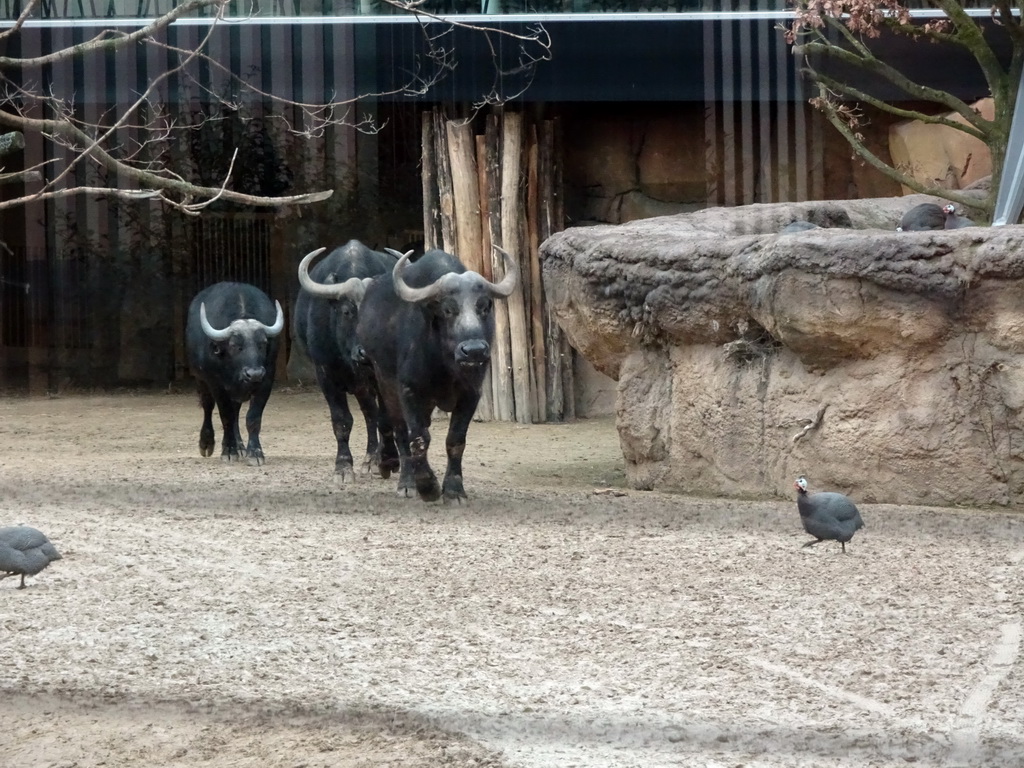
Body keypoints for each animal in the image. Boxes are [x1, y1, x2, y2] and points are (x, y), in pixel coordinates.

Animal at [186, 280, 284, 466]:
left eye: (262, 343)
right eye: (235, 345)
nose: (254, 374)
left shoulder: (266, 382)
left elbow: (252, 418)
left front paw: (255, 452)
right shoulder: (216, 384)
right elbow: (225, 416)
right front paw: (229, 450)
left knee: (236, 412)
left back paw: (239, 446)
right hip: (200, 380)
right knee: (208, 407)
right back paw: (208, 443)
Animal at [294, 240, 401, 481]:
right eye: (346, 312)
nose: (365, 353)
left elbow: (385, 418)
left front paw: (389, 460)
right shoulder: (325, 374)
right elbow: (342, 420)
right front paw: (343, 466)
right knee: (369, 412)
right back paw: (369, 459)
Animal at [360, 243, 520, 501]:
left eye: (483, 307)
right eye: (448, 309)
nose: (474, 351)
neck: (443, 367)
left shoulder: (471, 393)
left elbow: (456, 439)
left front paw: (454, 489)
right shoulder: (408, 390)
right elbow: (417, 438)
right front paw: (427, 486)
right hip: (385, 383)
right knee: (400, 431)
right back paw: (405, 481)